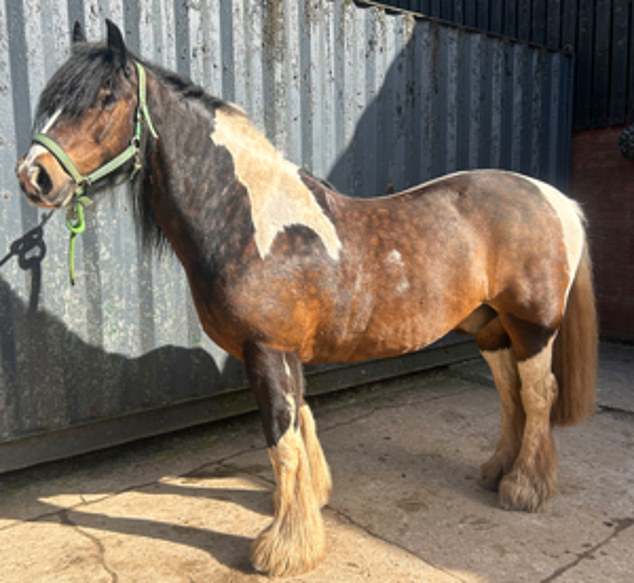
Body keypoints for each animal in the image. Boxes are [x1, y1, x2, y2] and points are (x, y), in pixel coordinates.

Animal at [16, 19, 596, 580]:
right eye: (54, 99)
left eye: (106, 96)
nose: (33, 176)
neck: (249, 224)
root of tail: (555, 198)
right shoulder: (284, 351)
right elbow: (301, 422)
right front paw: (309, 507)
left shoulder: (266, 349)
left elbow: (282, 439)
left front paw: (285, 548)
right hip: (490, 327)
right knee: (509, 395)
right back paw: (498, 471)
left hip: (531, 327)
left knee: (537, 395)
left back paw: (525, 487)